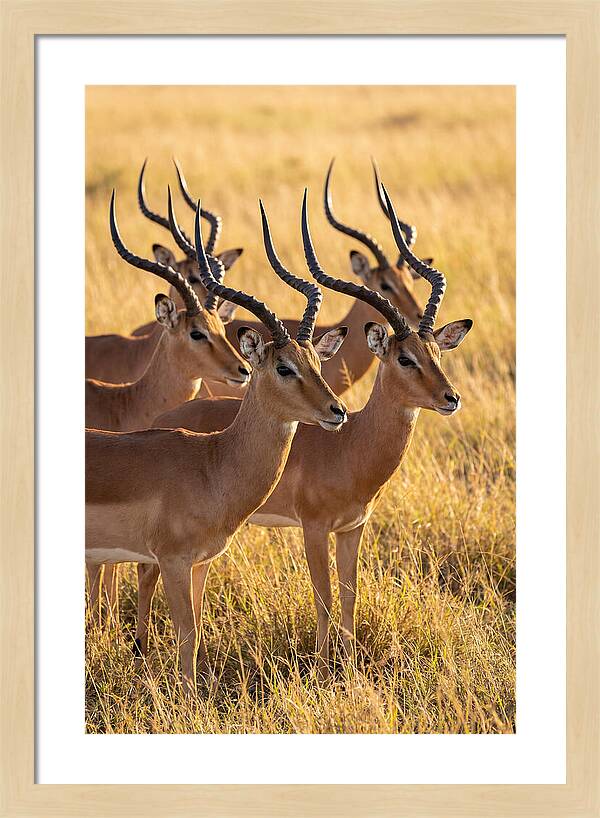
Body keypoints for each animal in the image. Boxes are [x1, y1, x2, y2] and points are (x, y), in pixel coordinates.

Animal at [85, 196, 349, 694]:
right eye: (283, 366)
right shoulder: (171, 561)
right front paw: (187, 702)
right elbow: (186, 633)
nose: (337, 411)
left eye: (316, 361)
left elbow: (198, 628)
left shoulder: (201, 562)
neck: (212, 464)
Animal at [144, 186, 472, 678]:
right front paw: (320, 669)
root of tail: (162, 421)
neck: (352, 445)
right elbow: (324, 597)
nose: (450, 398)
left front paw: (350, 668)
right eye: (404, 357)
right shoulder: (314, 528)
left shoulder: (353, 528)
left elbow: (351, 595)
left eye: (436, 352)